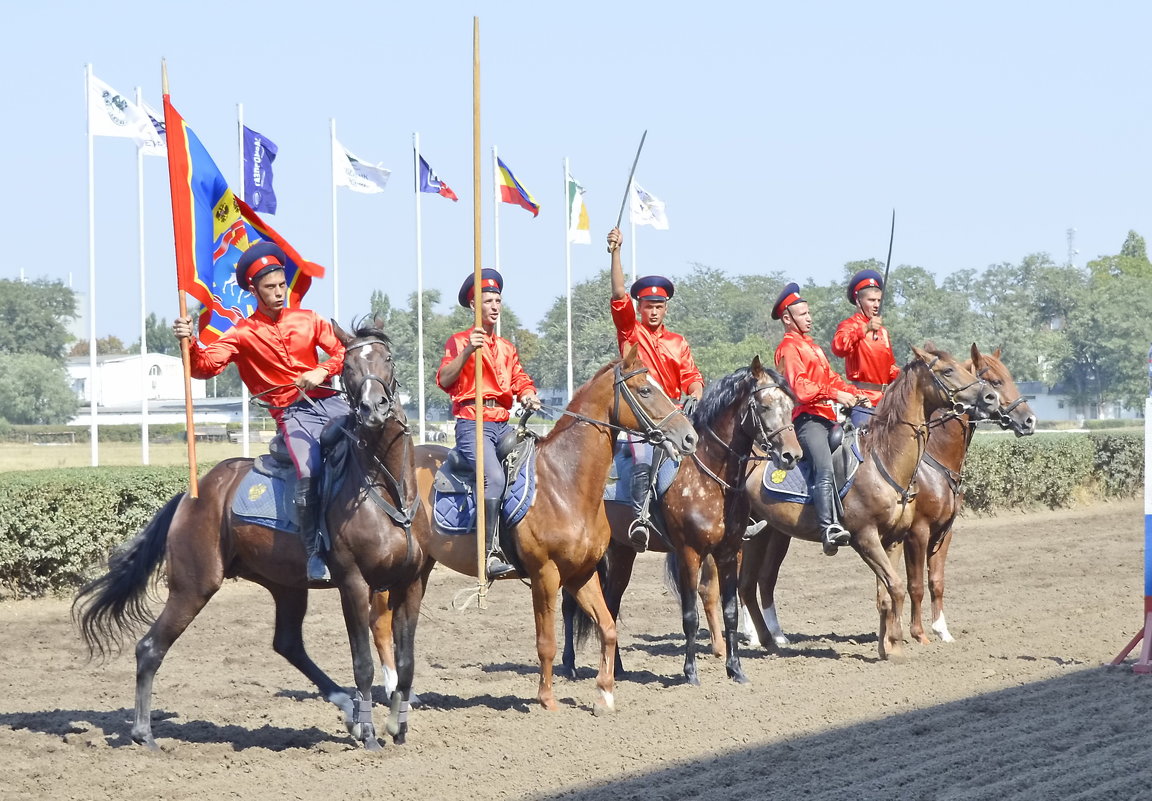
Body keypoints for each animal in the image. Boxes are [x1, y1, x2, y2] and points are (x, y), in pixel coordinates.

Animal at [74, 320, 430, 751]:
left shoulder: (411, 583)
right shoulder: (353, 583)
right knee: (149, 647)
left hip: (286, 585)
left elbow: (406, 662)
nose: (373, 408)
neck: (383, 486)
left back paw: (347, 709)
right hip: (194, 585)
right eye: (348, 367)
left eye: (387, 358)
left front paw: (397, 727)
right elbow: (362, 662)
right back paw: (144, 734)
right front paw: (373, 737)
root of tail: (192, 494)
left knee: (287, 643)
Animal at [373, 345, 695, 714]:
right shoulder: (545, 575)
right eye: (644, 390)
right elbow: (547, 642)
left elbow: (608, 627)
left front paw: (604, 694)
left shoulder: (581, 575)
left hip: (420, 568)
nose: (689, 437)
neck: (565, 482)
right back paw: (393, 692)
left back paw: (409, 694)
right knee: (380, 624)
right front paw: (547, 699)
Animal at [557, 359, 801, 686]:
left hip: (622, 553)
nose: (791, 455)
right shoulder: (689, 553)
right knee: (570, 603)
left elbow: (730, 611)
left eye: (790, 406)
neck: (709, 476)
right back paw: (570, 664)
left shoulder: (729, 553)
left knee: (610, 605)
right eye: (763, 406)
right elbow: (690, 615)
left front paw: (736, 670)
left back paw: (617, 667)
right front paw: (691, 673)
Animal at [737, 348, 999, 659]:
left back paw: (771, 639)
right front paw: (897, 644)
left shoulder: (893, 539)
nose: (990, 398)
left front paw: (888, 644)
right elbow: (898, 587)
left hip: (768, 534)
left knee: (754, 583)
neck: (884, 459)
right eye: (947, 370)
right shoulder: (867, 537)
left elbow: (886, 593)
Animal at [903, 348, 1041, 640]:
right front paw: (917, 633)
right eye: (996, 382)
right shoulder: (917, 532)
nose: (1029, 420)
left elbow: (936, 580)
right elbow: (914, 584)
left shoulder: (943, 532)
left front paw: (941, 629)